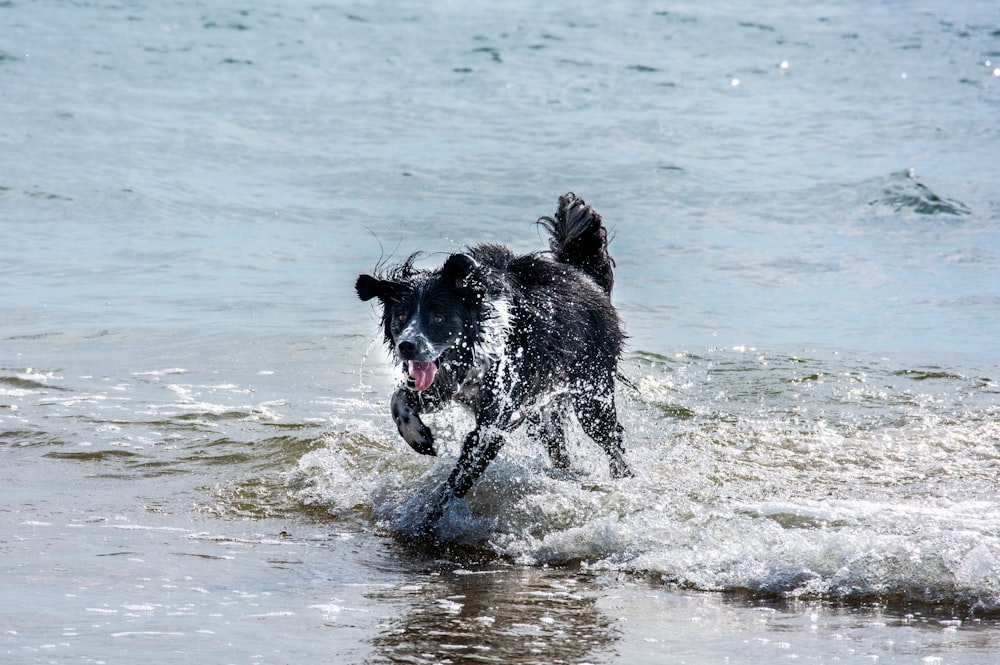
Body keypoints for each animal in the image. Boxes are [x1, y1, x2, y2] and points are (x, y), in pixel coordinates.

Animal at [356, 193, 628, 528]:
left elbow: (460, 477)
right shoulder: (442, 385)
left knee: (612, 441)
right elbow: (399, 399)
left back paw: (625, 480)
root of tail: (586, 279)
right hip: (542, 410)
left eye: (438, 317)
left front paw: (429, 519)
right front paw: (418, 436)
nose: (407, 346)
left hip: (591, 395)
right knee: (558, 445)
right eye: (401, 316)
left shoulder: (494, 419)